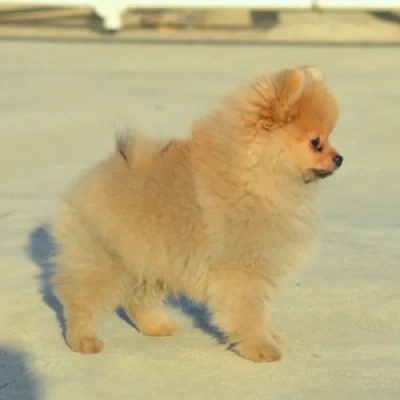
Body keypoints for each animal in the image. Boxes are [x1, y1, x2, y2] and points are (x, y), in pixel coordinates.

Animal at [51, 65, 342, 362]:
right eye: (316, 142)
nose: (339, 158)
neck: (254, 176)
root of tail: (103, 170)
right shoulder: (243, 269)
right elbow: (249, 313)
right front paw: (260, 347)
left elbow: (258, 311)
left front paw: (268, 337)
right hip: (106, 258)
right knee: (79, 298)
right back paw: (83, 340)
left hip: (153, 258)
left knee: (137, 299)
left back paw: (158, 326)